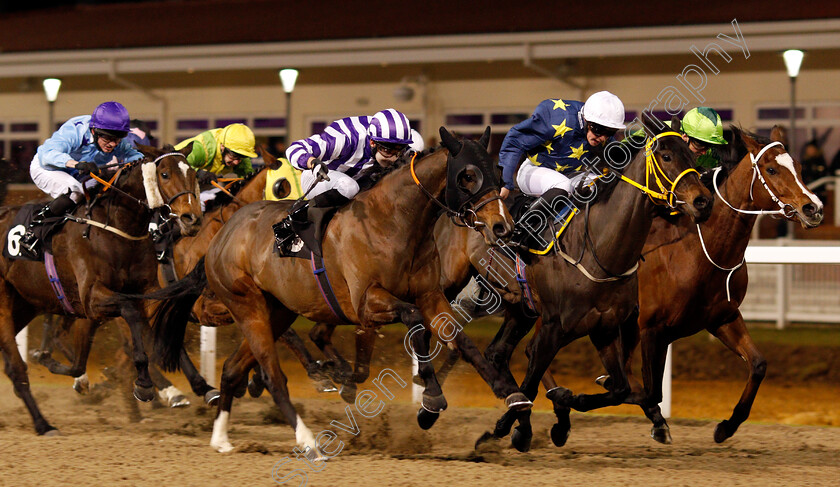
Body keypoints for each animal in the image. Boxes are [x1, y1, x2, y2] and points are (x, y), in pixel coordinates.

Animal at [0, 146, 202, 434]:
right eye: (164, 174)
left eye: (193, 174)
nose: (192, 218)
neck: (117, 228)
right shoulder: (93, 298)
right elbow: (131, 315)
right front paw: (144, 385)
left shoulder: (146, 292)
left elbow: (161, 333)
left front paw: (201, 386)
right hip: (5, 306)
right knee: (17, 370)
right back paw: (43, 424)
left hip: (25, 304)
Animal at [145, 127, 524, 456]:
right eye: (467, 176)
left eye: (497, 174)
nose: (501, 226)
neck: (395, 220)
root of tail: (221, 237)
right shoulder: (367, 303)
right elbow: (414, 320)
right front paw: (430, 401)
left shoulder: (430, 295)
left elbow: (460, 339)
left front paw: (511, 394)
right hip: (246, 306)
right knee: (272, 375)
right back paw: (307, 440)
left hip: (277, 312)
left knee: (231, 368)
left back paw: (221, 438)